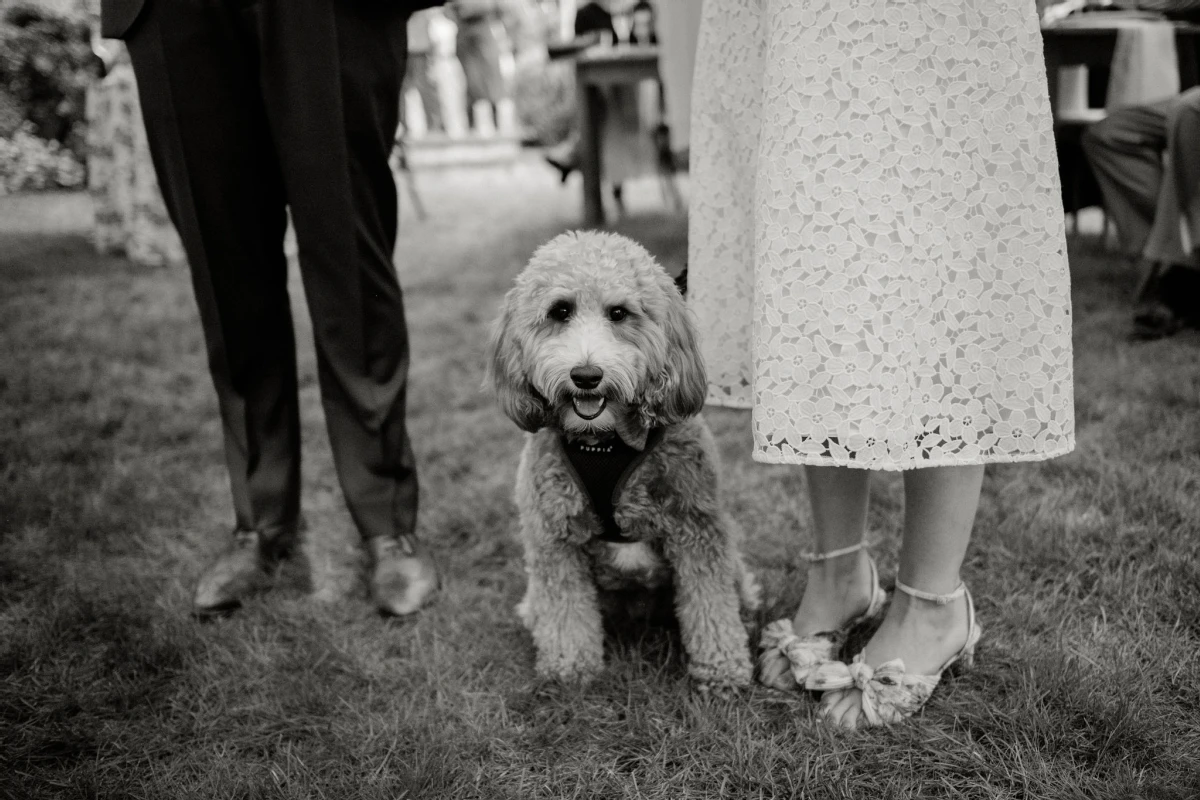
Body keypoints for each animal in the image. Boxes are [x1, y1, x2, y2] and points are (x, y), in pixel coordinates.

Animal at [480, 230, 753, 690]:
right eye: (560, 311)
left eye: (619, 313)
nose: (586, 376)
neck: (605, 442)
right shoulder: (554, 538)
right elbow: (566, 610)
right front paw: (570, 667)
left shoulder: (697, 529)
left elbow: (710, 603)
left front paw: (722, 668)